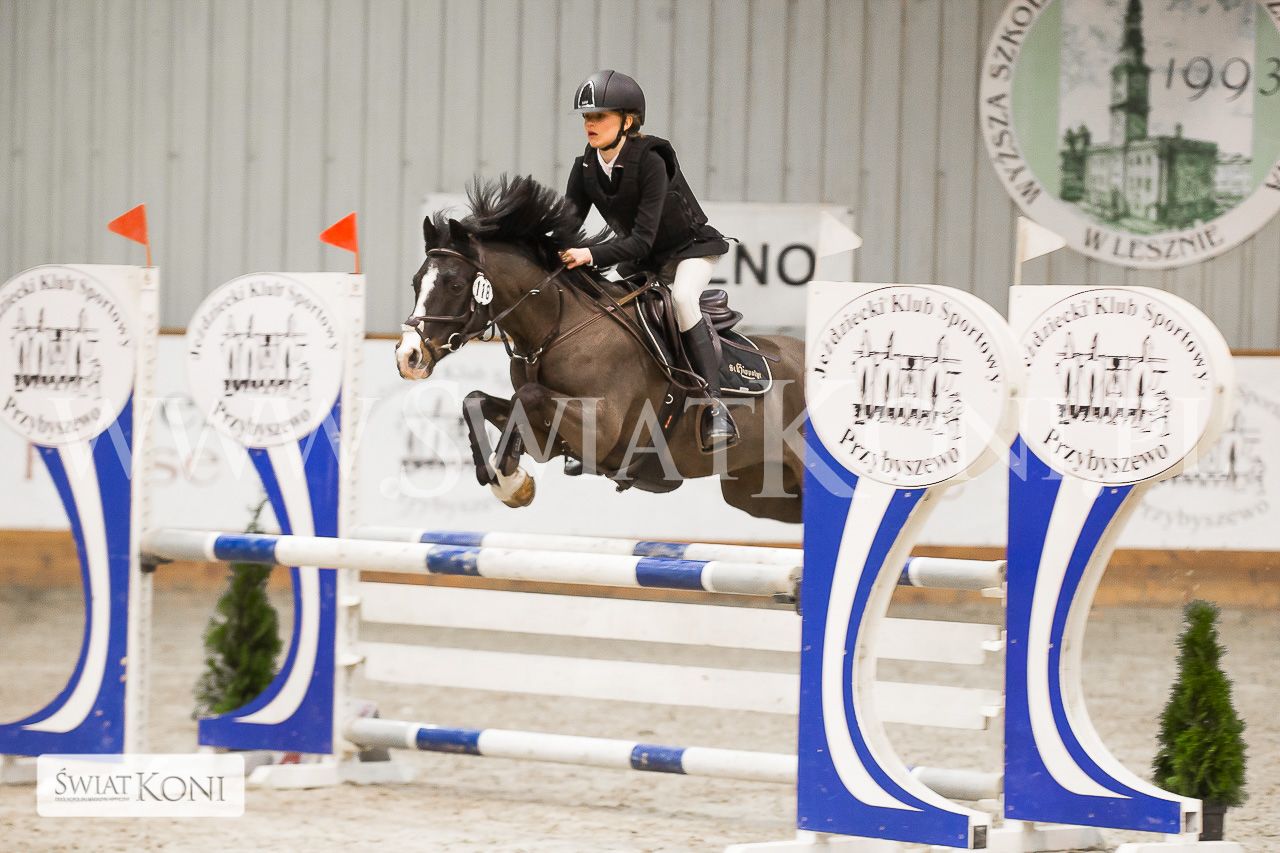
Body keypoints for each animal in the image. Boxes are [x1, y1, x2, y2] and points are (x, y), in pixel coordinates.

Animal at [394, 175, 806, 524]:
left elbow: (528, 395)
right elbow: (476, 400)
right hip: (757, 491)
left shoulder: (602, 427)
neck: (556, 330)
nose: (407, 357)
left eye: (454, 284)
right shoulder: (551, 436)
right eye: (416, 281)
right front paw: (510, 480)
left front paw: (511, 479)